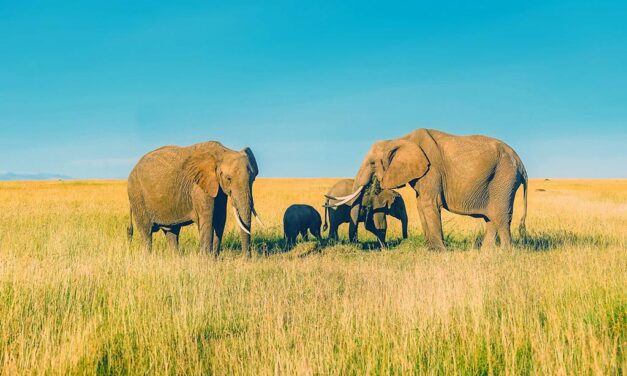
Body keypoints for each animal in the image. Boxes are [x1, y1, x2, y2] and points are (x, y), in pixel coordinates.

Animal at [129, 142, 262, 258]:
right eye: (228, 178)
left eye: (253, 179)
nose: (246, 259)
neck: (222, 152)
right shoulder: (199, 186)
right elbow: (208, 219)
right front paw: (206, 260)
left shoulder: (217, 187)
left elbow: (220, 218)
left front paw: (214, 259)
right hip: (137, 195)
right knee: (146, 233)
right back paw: (147, 258)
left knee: (172, 232)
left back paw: (176, 259)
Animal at [326, 129, 528, 250]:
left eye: (372, 163)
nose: (405, 240)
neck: (400, 139)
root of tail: (521, 165)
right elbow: (420, 204)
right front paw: (430, 248)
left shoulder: (432, 169)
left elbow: (428, 203)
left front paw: (439, 251)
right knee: (491, 218)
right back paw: (486, 253)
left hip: (504, 178)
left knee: (501, 216)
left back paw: (504, 254)